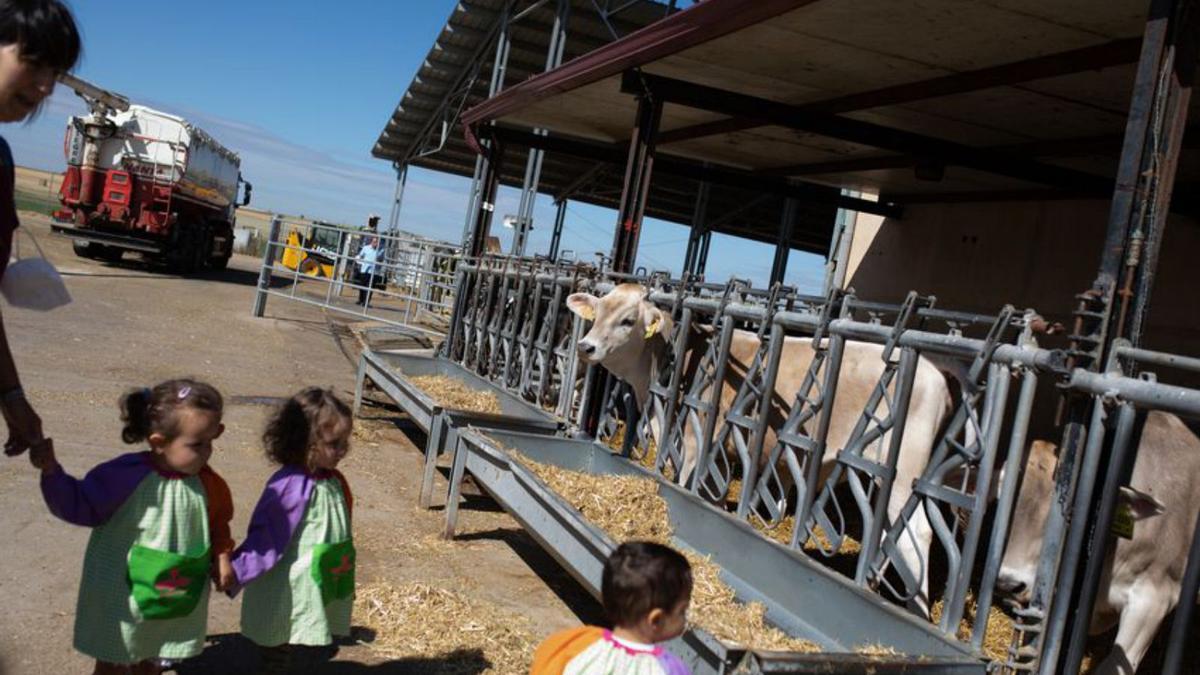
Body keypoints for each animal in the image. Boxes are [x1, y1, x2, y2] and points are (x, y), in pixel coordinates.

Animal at [566, 281, 950, 607]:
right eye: (597, 313)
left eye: (628, 320)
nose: (586, 347)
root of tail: (936, 375)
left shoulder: (693, 442)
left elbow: (683, 484)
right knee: (890, 537)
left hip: (903, 475)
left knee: (918, 536)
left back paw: (918, 609)